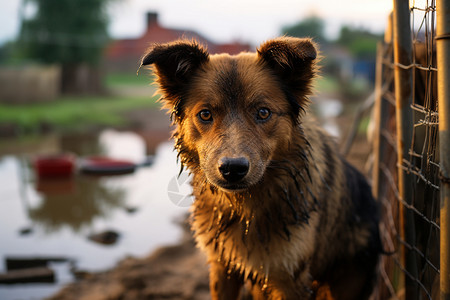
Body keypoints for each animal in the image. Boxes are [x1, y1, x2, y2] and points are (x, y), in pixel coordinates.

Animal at [142, 37, 382, 300]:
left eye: (263, 112)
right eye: (205, 114)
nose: (233, 168)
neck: (244, 207)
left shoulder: (289, 278)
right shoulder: (221, 266)